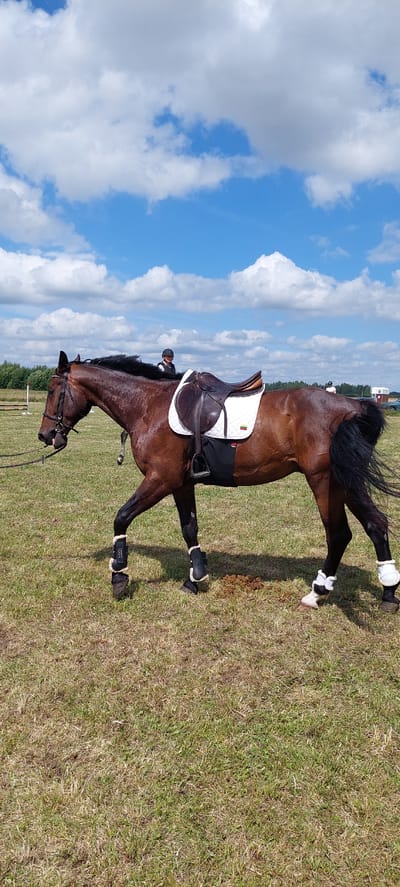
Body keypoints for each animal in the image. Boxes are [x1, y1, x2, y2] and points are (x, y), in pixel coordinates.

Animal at [38, 350, 400, 613]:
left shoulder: (160, 479)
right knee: (375, 524)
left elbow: (121, 517)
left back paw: (318, 592)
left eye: (54, 391)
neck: (148, 406)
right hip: (345, 481)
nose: (45, 435)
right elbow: (189, 528)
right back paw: (388, 592)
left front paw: (119, 575)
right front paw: (195, 578)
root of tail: (355, 406)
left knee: (338, 534)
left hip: (325, 481)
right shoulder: (181, 484)